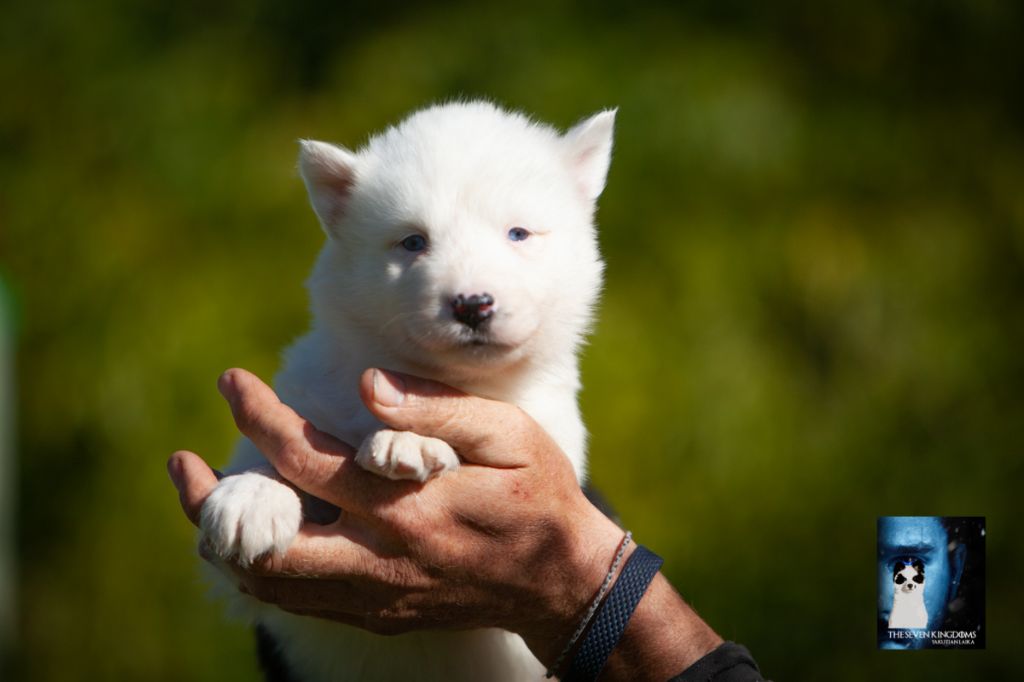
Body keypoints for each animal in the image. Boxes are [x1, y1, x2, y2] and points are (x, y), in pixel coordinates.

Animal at [200, 100, 614, 679]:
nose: (472, 304)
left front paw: (410, 440)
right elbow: (268, 459)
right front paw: (251, 497)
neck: (439, 379)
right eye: (413, 241)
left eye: (518, 234)